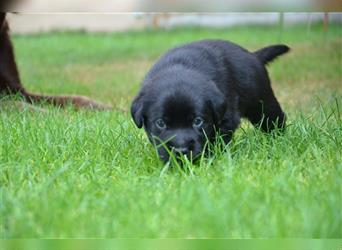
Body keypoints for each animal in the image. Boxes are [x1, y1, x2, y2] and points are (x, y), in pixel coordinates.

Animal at [131, 39, 288, 162]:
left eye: (198, 121)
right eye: (161, 123)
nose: (181, 150)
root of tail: (253, 55)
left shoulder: (227, 118)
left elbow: (217, 141)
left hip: (261, 103)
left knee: (275, 119)